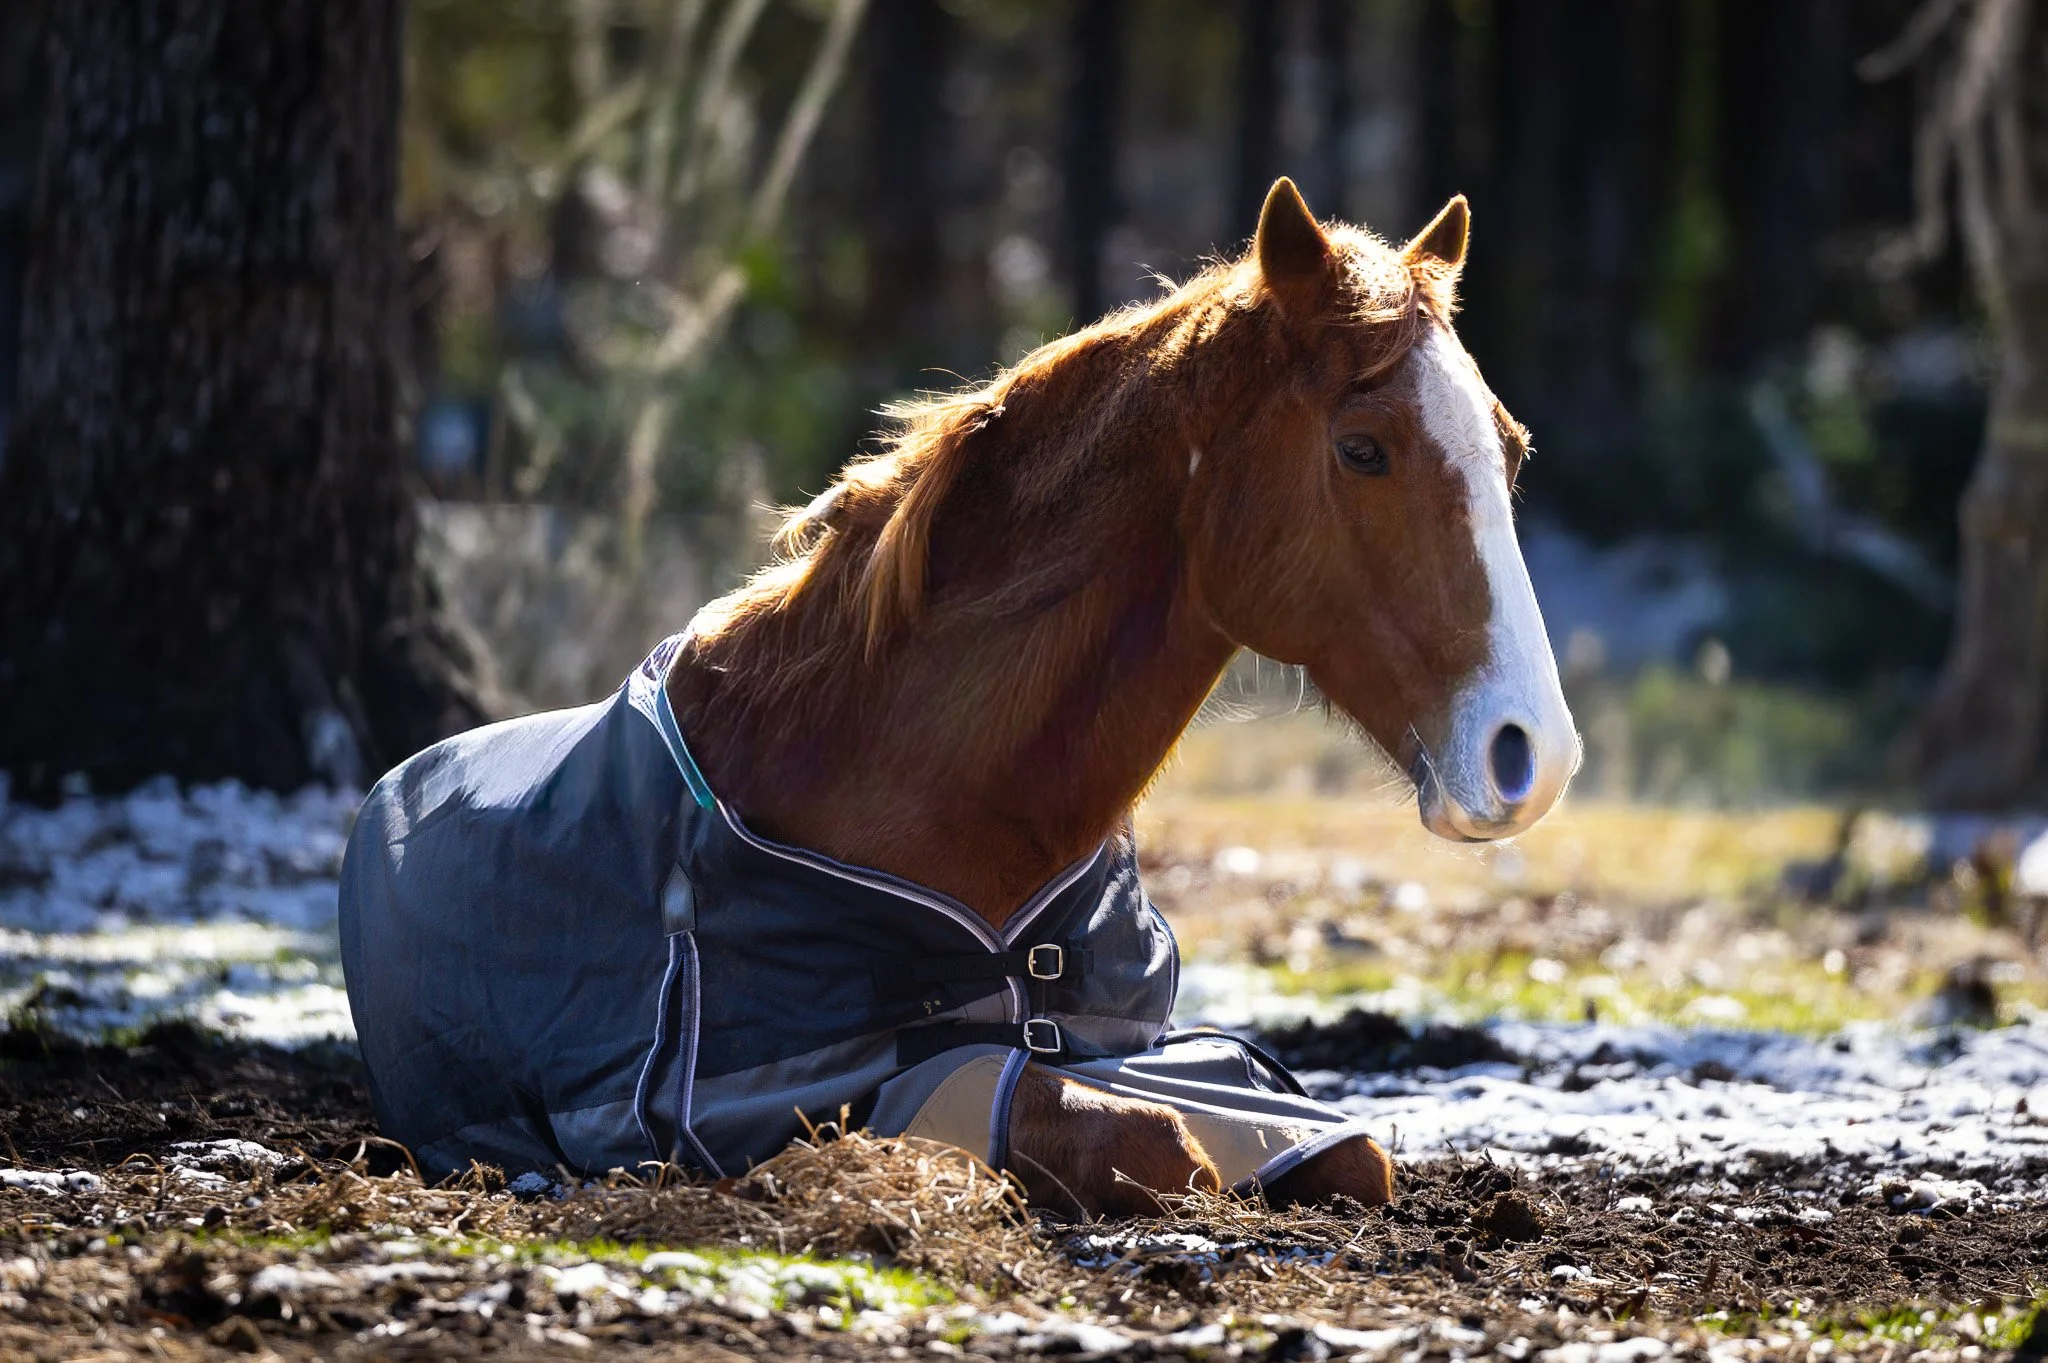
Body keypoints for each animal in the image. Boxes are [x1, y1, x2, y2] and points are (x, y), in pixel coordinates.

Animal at [657, 178, 1576, 1213]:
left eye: (1512, 450)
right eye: (1363, 449)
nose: (1534, 754)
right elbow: (1162, 1146)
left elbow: (1352, 1152)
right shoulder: (829, 1094)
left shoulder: (1161, 1056)